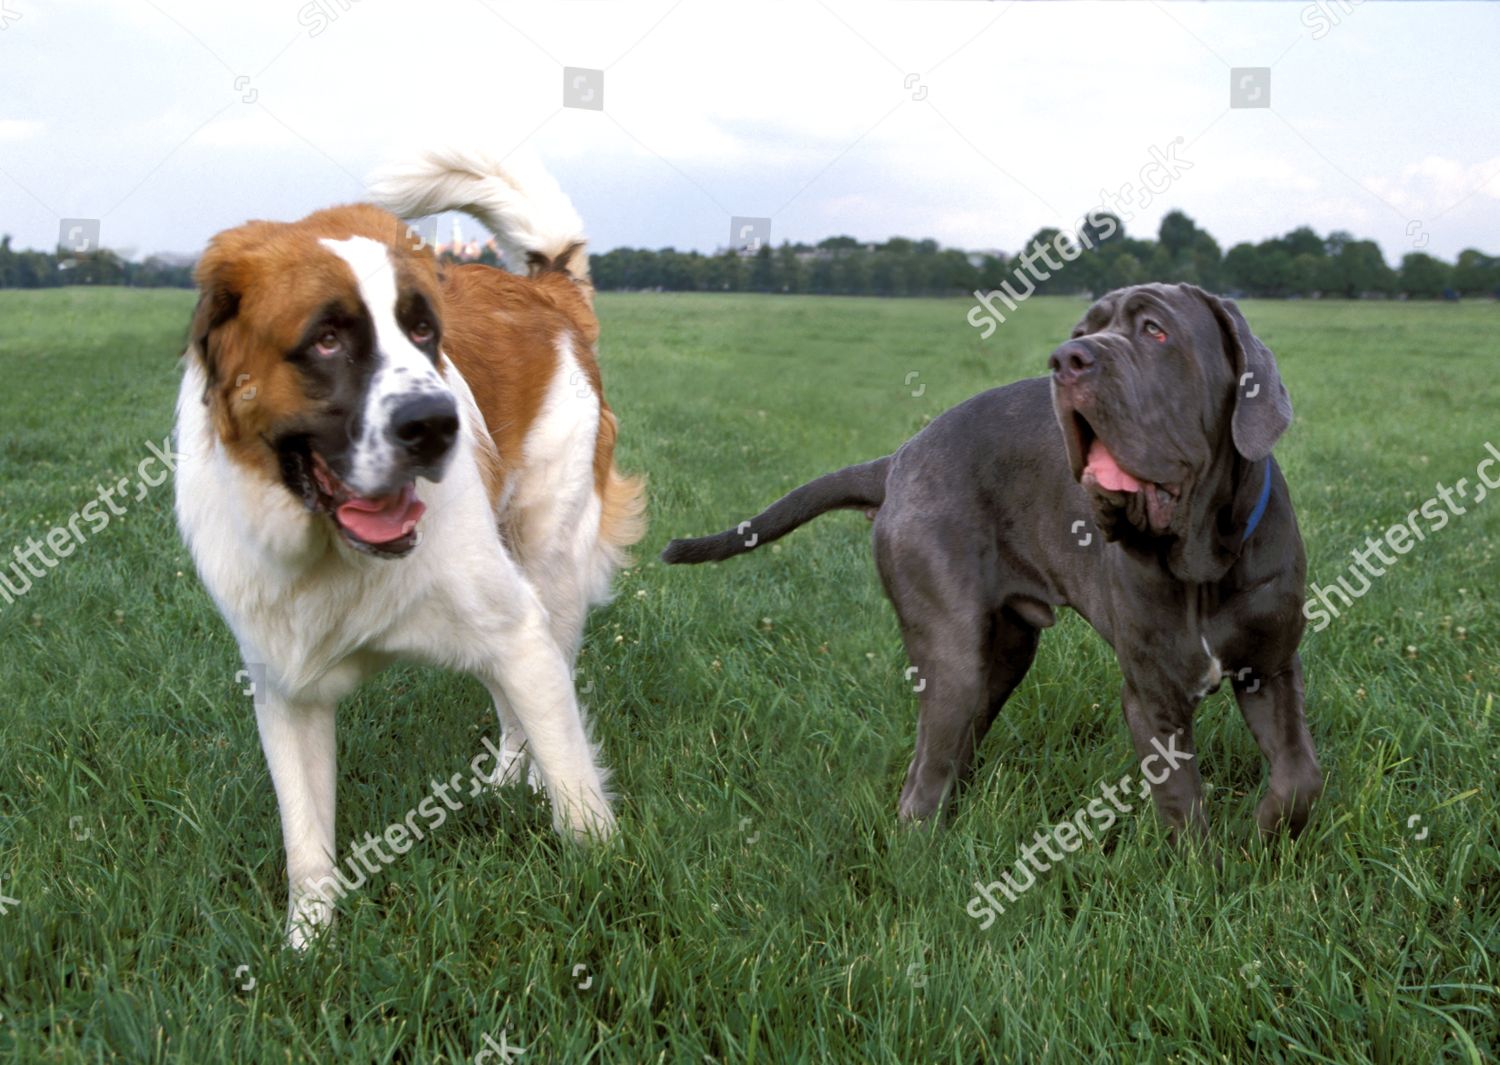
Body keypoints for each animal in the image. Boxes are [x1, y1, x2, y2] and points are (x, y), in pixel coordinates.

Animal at [175, 150, 645, 954]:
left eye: (425, 332)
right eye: (327, 339)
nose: (436, 423)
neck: (334, 549)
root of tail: (542, 290)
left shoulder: (515, 629)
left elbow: (573, 774)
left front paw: (602, 875)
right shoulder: (284, 685)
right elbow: (306, 837)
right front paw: (308, 944)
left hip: (547, 568)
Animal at [663, 286, 1320, 852]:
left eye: (1156, 331)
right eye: (1082, 332)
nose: (1068, 359)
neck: (1202, 558)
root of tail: (898, 459)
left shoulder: (1271, 669)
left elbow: (1300, 775)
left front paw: (1264, 835)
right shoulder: (1153, 696)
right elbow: (1183, 802)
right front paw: (1201, 875)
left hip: (1003, 652)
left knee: (954, 749)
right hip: (954, 653)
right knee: (923, 774)